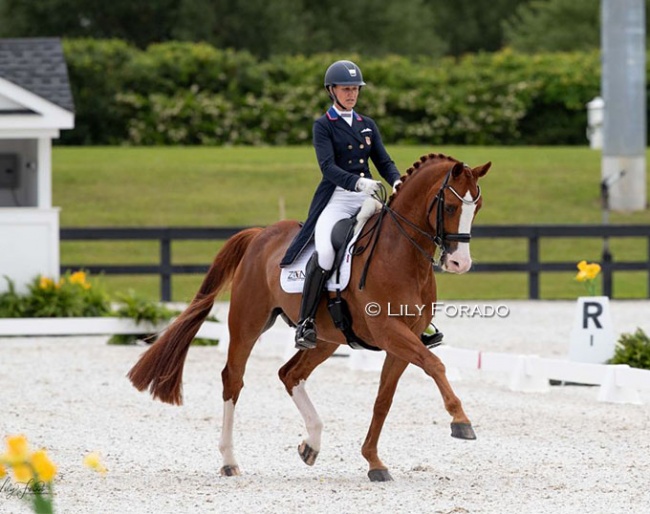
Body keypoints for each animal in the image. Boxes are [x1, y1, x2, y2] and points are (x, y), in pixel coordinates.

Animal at [128, 152, 486, 480]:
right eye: (450, 207)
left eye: (477, 207)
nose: (460, 264)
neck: (400, 254)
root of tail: (260, 235)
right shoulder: (389, 331)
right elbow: (434, 364)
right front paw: (461, 422)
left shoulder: (402, 340)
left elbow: (384, 399)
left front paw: (373, 461)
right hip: (248, 323)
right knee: (233, 379)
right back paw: (229, 460)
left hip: (326, 338)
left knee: (290, 374)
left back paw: (310, 444)